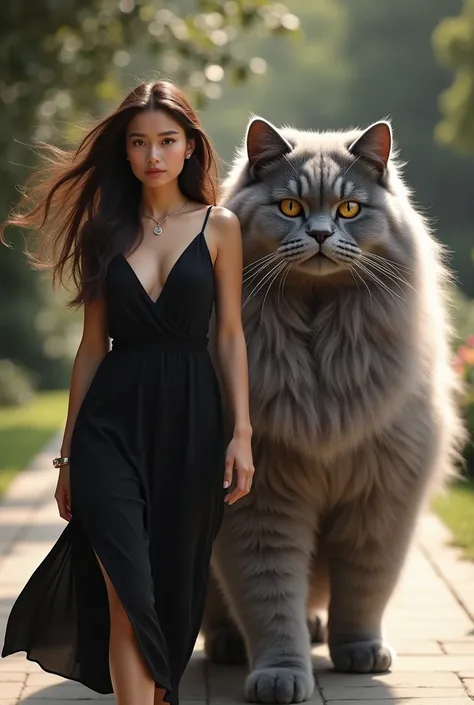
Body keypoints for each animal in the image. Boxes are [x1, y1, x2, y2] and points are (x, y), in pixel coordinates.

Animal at [202, 118, 464, 700]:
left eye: (349, 209)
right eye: (290, 207)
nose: (321, 234)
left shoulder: (380, 500)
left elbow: (365, 589)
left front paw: (361, 652)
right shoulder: (260, 503)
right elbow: (270, 599)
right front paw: (281, 675)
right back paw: (229, 645)